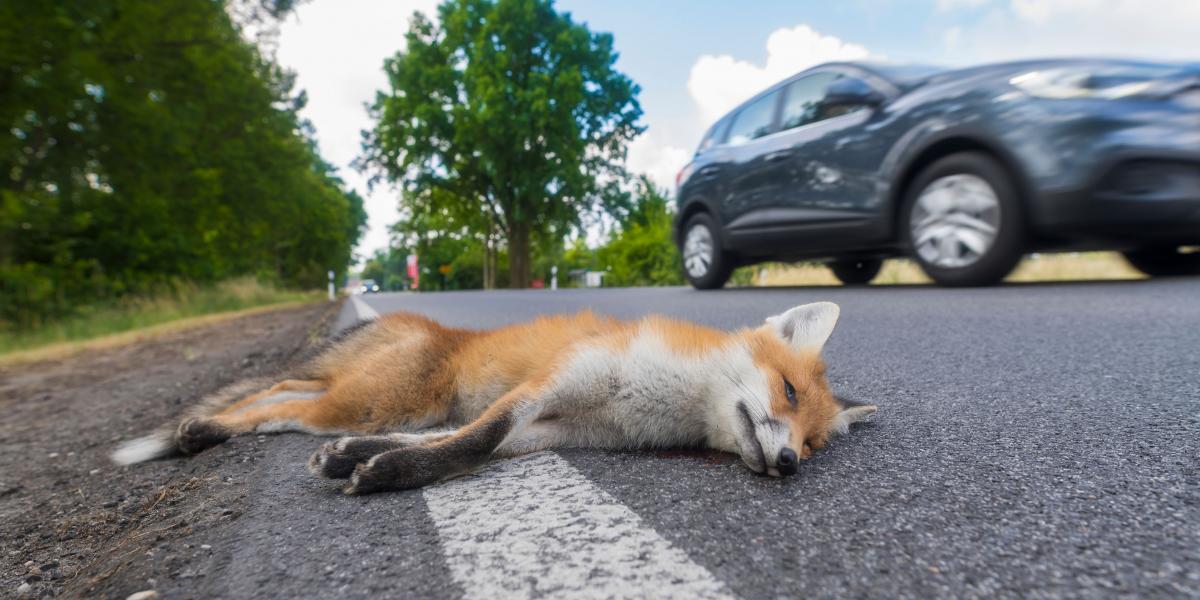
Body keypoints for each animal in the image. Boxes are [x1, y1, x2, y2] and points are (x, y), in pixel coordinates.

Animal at [112, 302, 873, 494]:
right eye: (787, 390)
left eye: (813, 444)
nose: (789, 463)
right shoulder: (550, 385)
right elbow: (474, 440)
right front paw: (388, 475)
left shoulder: (563, 429)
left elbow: (462, 447)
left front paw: (357, 461)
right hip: (380, 397)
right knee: (273, 408)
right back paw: (198, 432)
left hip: (370, 400)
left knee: (279, 400)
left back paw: (208, 430)